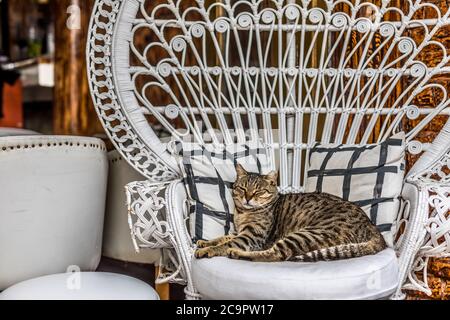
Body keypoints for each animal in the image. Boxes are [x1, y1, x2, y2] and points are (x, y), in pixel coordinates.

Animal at [195, 164, 388, 262]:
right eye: (242, 188)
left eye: (258, 191)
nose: (248, 198)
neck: (243, 213)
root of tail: (373, 228)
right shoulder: (240, 231)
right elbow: (223, 237)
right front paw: (206, 242)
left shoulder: (251, 236)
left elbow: (226, 243)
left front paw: (208, 250)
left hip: (308, 234)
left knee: (276, 255)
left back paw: (237, 254)